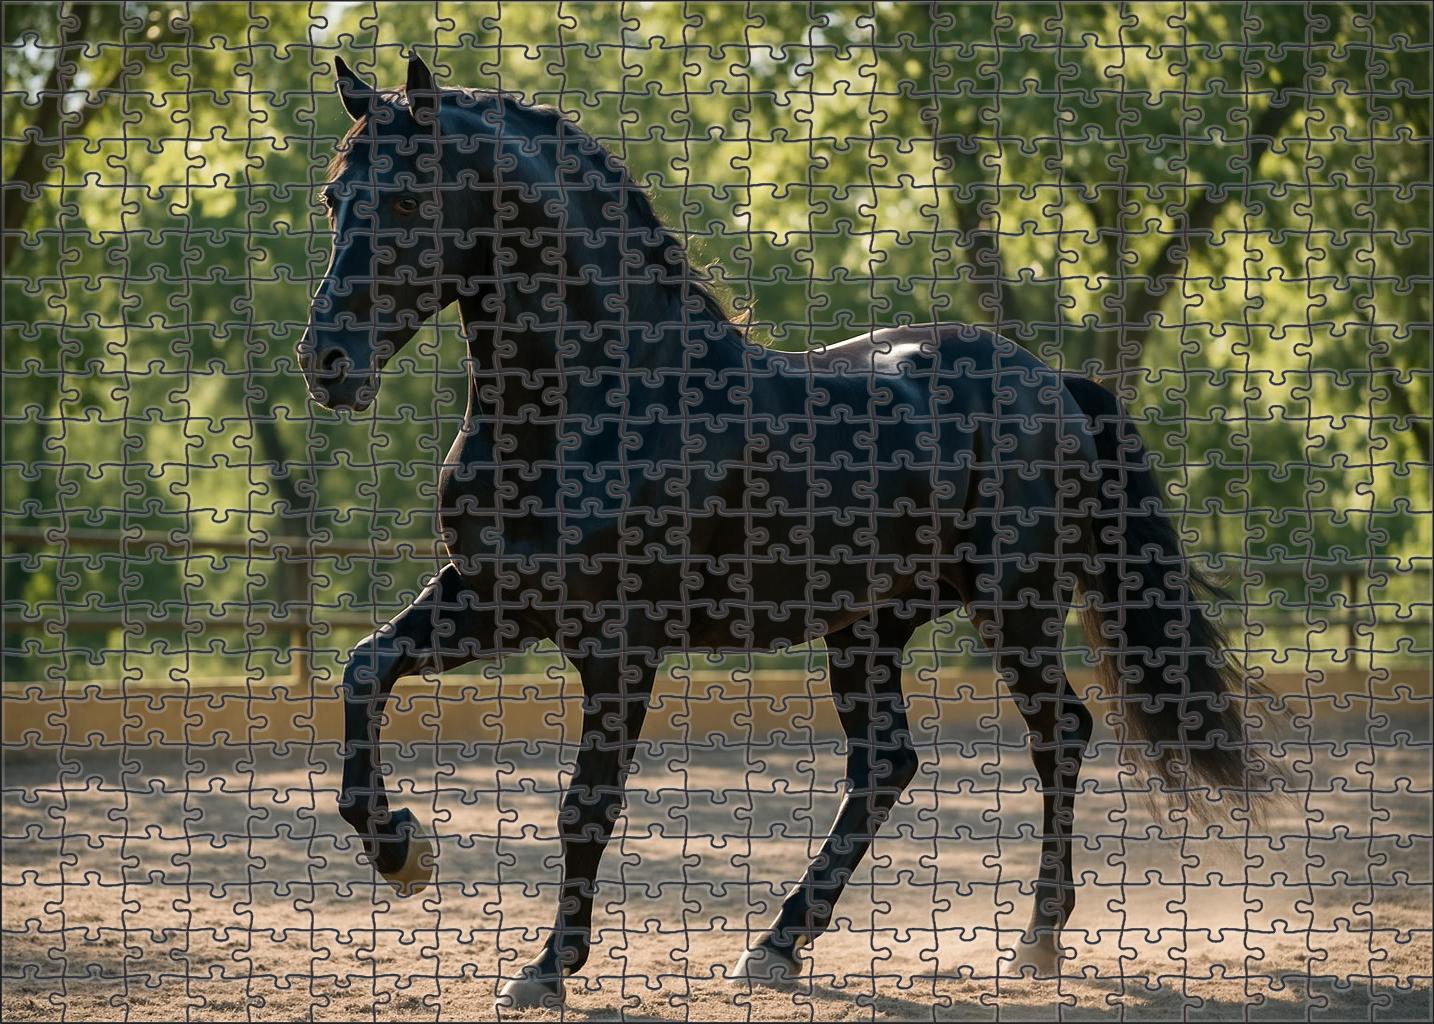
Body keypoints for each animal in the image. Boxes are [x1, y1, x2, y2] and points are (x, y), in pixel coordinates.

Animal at [298, 54, 1267, 1010]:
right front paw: (403, 850)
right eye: (336, 195)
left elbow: (585, 806)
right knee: (886, 765)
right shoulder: (494, 601)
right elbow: (365, 671)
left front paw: (544, 969)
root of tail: (1054, 385)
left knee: (1057, 733)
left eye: (411, 201)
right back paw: (776, 946)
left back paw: (1035, 939)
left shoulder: (620, 646)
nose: (326, 363)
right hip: (868, 629)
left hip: (1015, 609)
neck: (600, 402)